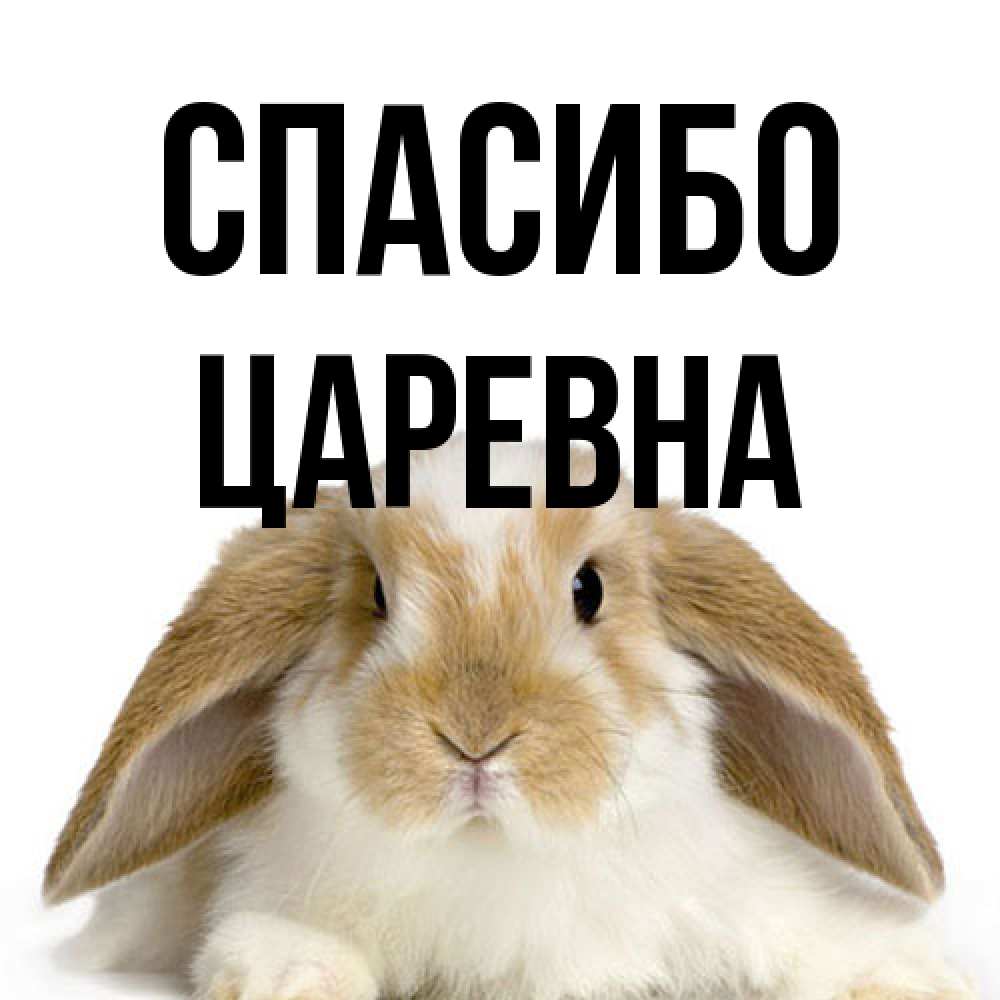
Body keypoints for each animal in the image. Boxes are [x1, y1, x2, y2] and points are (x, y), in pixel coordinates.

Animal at [45, 439, 975, 1000]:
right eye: (375, 595)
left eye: (589, 589)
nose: (475, 736)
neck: (495, 857)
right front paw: (290, 977)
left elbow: (819, 939)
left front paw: (910, 978)